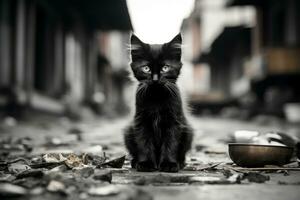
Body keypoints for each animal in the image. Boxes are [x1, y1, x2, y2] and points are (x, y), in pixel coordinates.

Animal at [123, 32, 192, 172]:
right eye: (146, 68)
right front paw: (146, 164)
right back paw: (135, 162)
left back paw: (180, 162)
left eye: (165, 68)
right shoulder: (141, 121)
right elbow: (144, 143)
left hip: (188, 132)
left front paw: (169, 164)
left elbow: (170, 143)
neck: (156, 98)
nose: (155, 79)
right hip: (128, 132)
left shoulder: (174, 122)